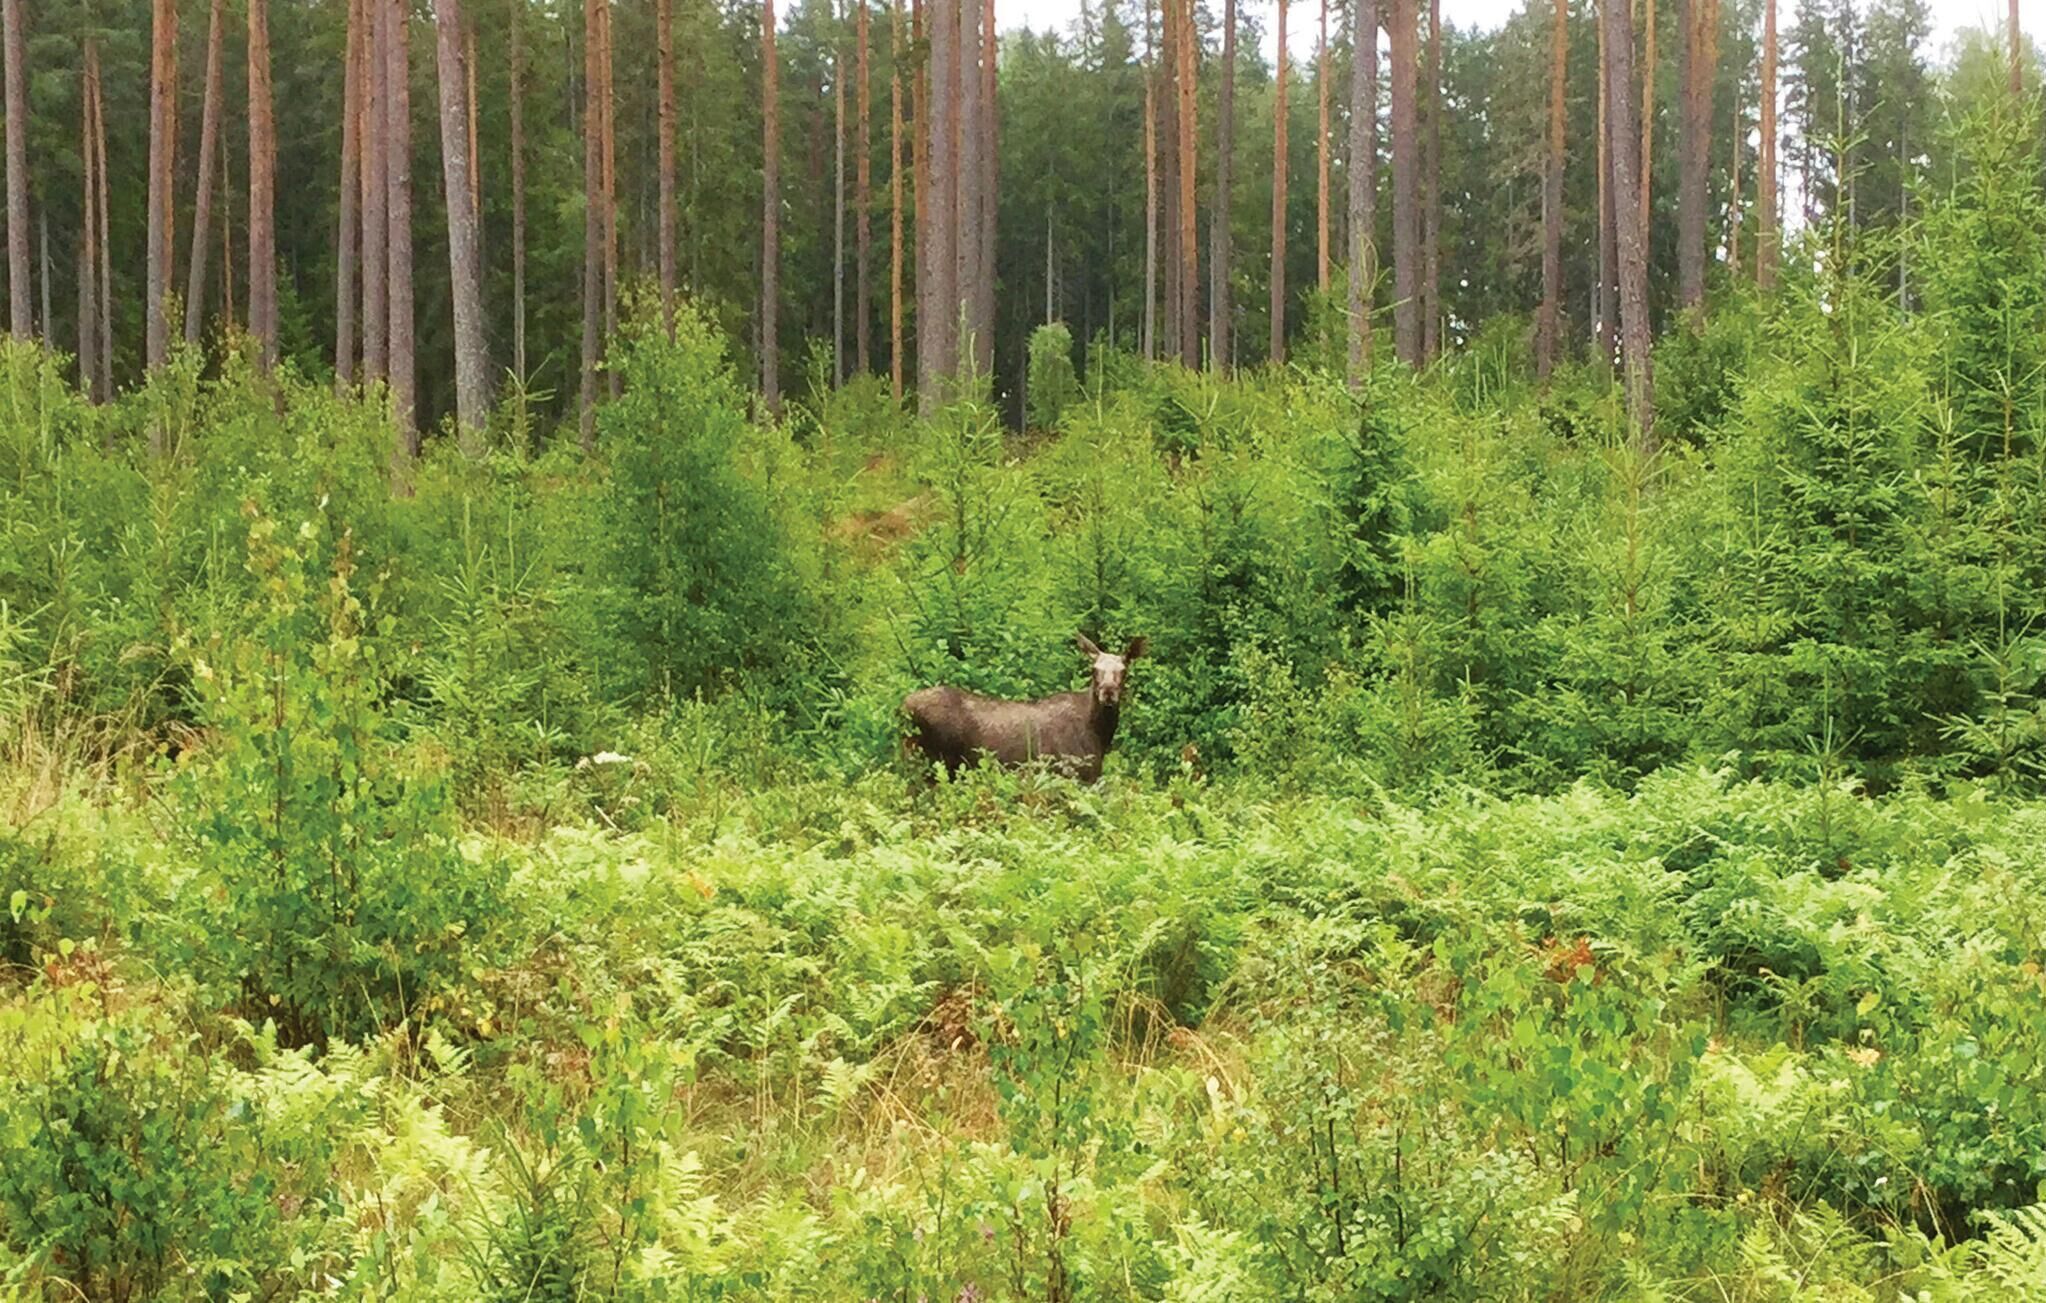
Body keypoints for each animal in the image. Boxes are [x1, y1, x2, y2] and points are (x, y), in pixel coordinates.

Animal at [902, 634, 1148, 783]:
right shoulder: (1074, 773)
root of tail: (904, 705)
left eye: (1124, 670)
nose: (1108, 692)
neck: (1100, 734)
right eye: (1094, 669)